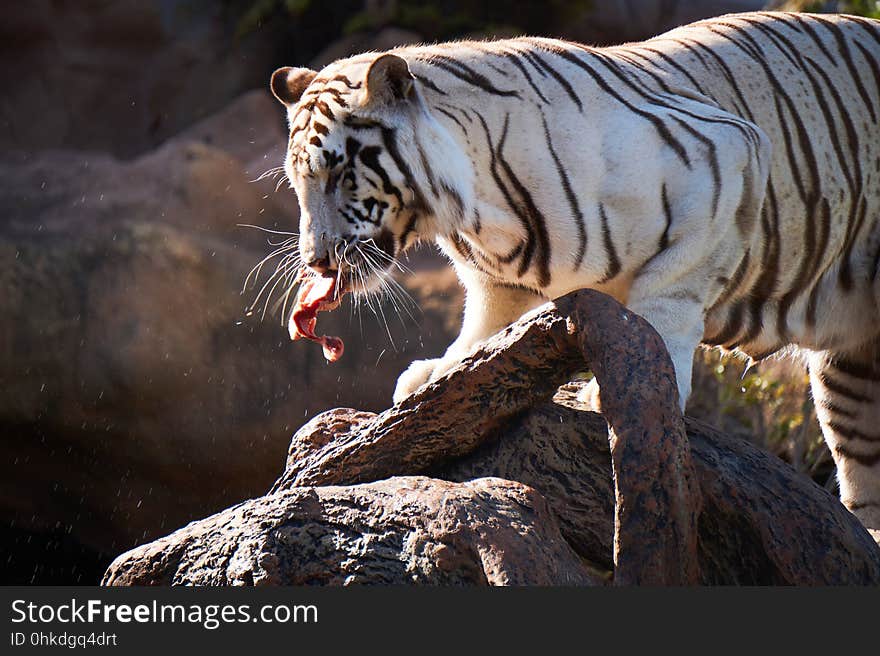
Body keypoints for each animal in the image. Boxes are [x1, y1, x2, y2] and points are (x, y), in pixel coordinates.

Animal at [266, 11, 880, 532]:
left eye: (340, 174)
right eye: (298, 181)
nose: (316, 260)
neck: (472, 213)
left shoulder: (727, 157)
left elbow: (664, 300)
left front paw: (630, 384)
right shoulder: (499, 278)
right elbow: (482, 325)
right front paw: (436, 373)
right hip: (852, 379)